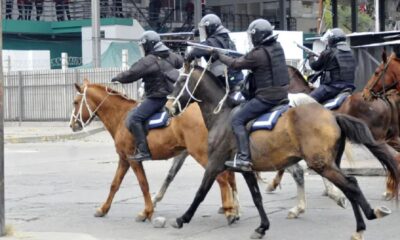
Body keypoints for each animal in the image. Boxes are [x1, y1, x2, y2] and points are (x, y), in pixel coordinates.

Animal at [68, 80, 239, 223]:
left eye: (75, 102)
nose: (72, 125)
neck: (122, 116)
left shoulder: (133, 160)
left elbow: (143, 184)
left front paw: (147, 212)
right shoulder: (124, 159)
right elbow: (115, 184)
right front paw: (103, 209)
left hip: (201, 154)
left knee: (222, 178)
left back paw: (229, 210)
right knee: (228, 177)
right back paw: (233, 209)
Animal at [170, 65, 400, 240]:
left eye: (179, 82)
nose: (169, 107)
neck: (223, 116)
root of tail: (332, 116)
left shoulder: (215, 164)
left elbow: (200, 192)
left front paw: (182, 218)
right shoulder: (246, 169)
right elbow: (257, 197)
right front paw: (262, 227)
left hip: (322, 164)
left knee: (350, 184)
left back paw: (367, 217)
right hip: (330, 162)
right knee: (349, 186)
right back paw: (360, 224)